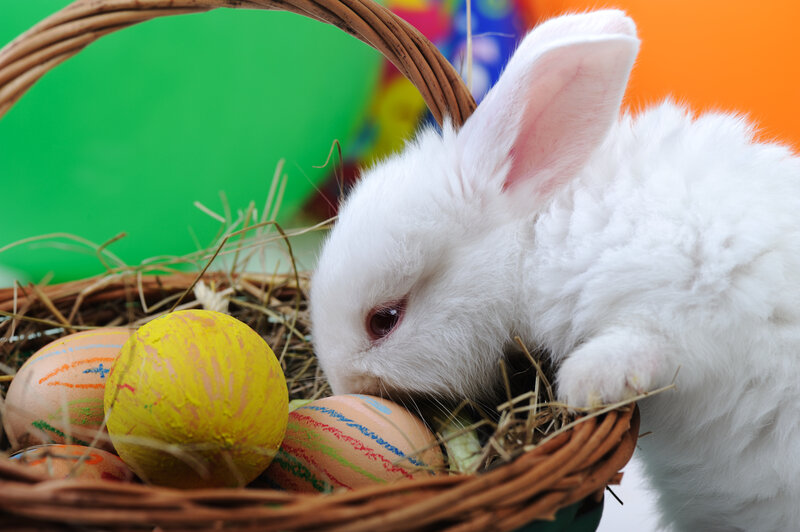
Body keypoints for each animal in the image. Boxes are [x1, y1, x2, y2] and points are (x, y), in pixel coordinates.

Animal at [310, 8, 800, 531]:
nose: (342, 389)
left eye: (384, 319)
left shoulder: (711, 294)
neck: (537, 239)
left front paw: (584, 383)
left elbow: (658, 345)